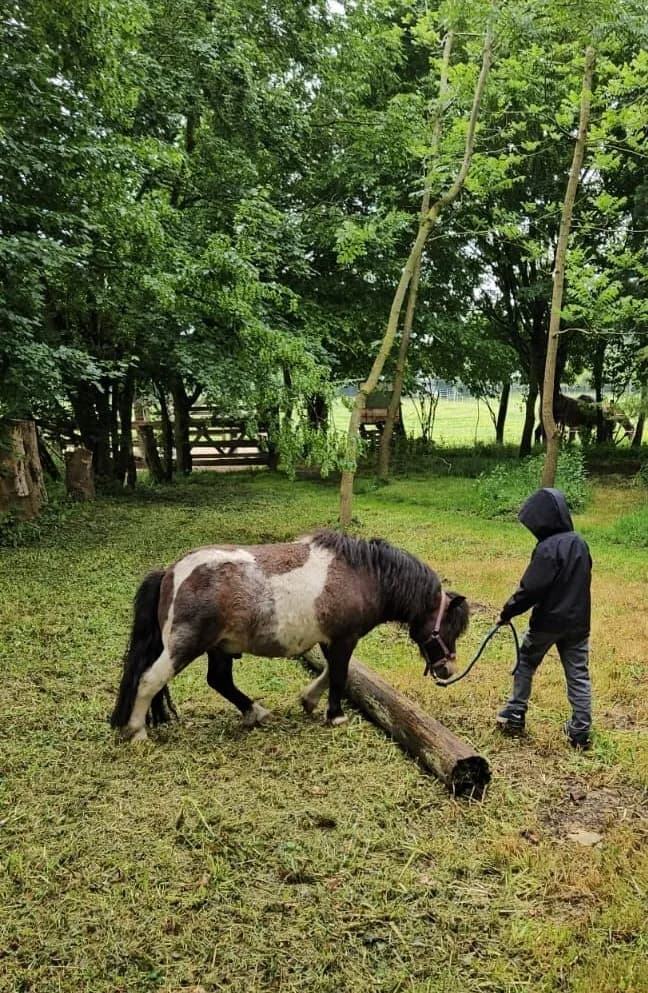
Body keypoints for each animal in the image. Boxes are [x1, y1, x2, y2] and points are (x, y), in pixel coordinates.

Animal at [110, 530, 470, 742]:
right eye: (449, 628)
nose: (448, 669)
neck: (364, 575)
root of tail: (170, 573)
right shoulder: (344, 639)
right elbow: (340, 675)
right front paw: (335, 715)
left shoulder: (331, 639)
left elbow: (334, 673)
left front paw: (310, 700)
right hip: (184, 647)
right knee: (149, 680)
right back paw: (137, 731)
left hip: (219, 648)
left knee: (219, 681)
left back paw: (254, 713)